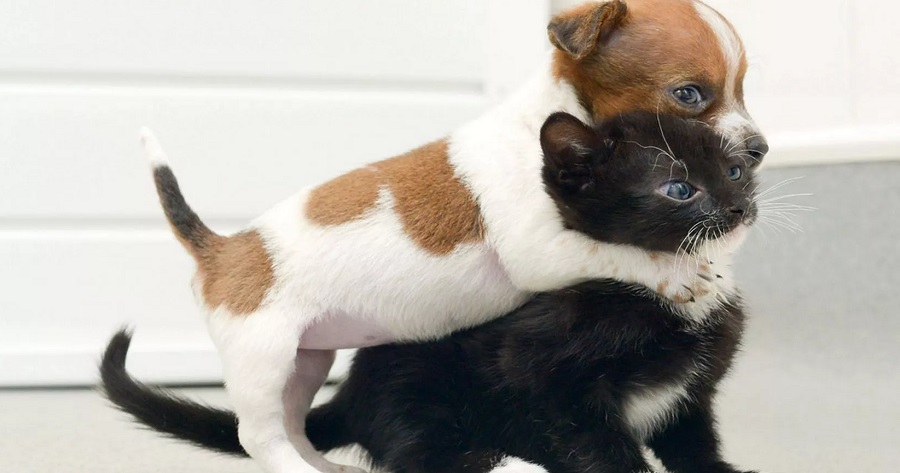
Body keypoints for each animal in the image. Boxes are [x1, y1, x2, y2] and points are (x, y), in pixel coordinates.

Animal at [132, 2, 765, 473]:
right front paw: (677, 274)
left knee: (295, 424)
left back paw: (323, 463)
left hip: (306, 360)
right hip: (262, 360)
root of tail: (218, 249)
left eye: (743, 87)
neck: (549, 120)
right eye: (689, 94)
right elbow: (614, 250)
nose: (757, 150)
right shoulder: (540, 252)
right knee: (258, 437)